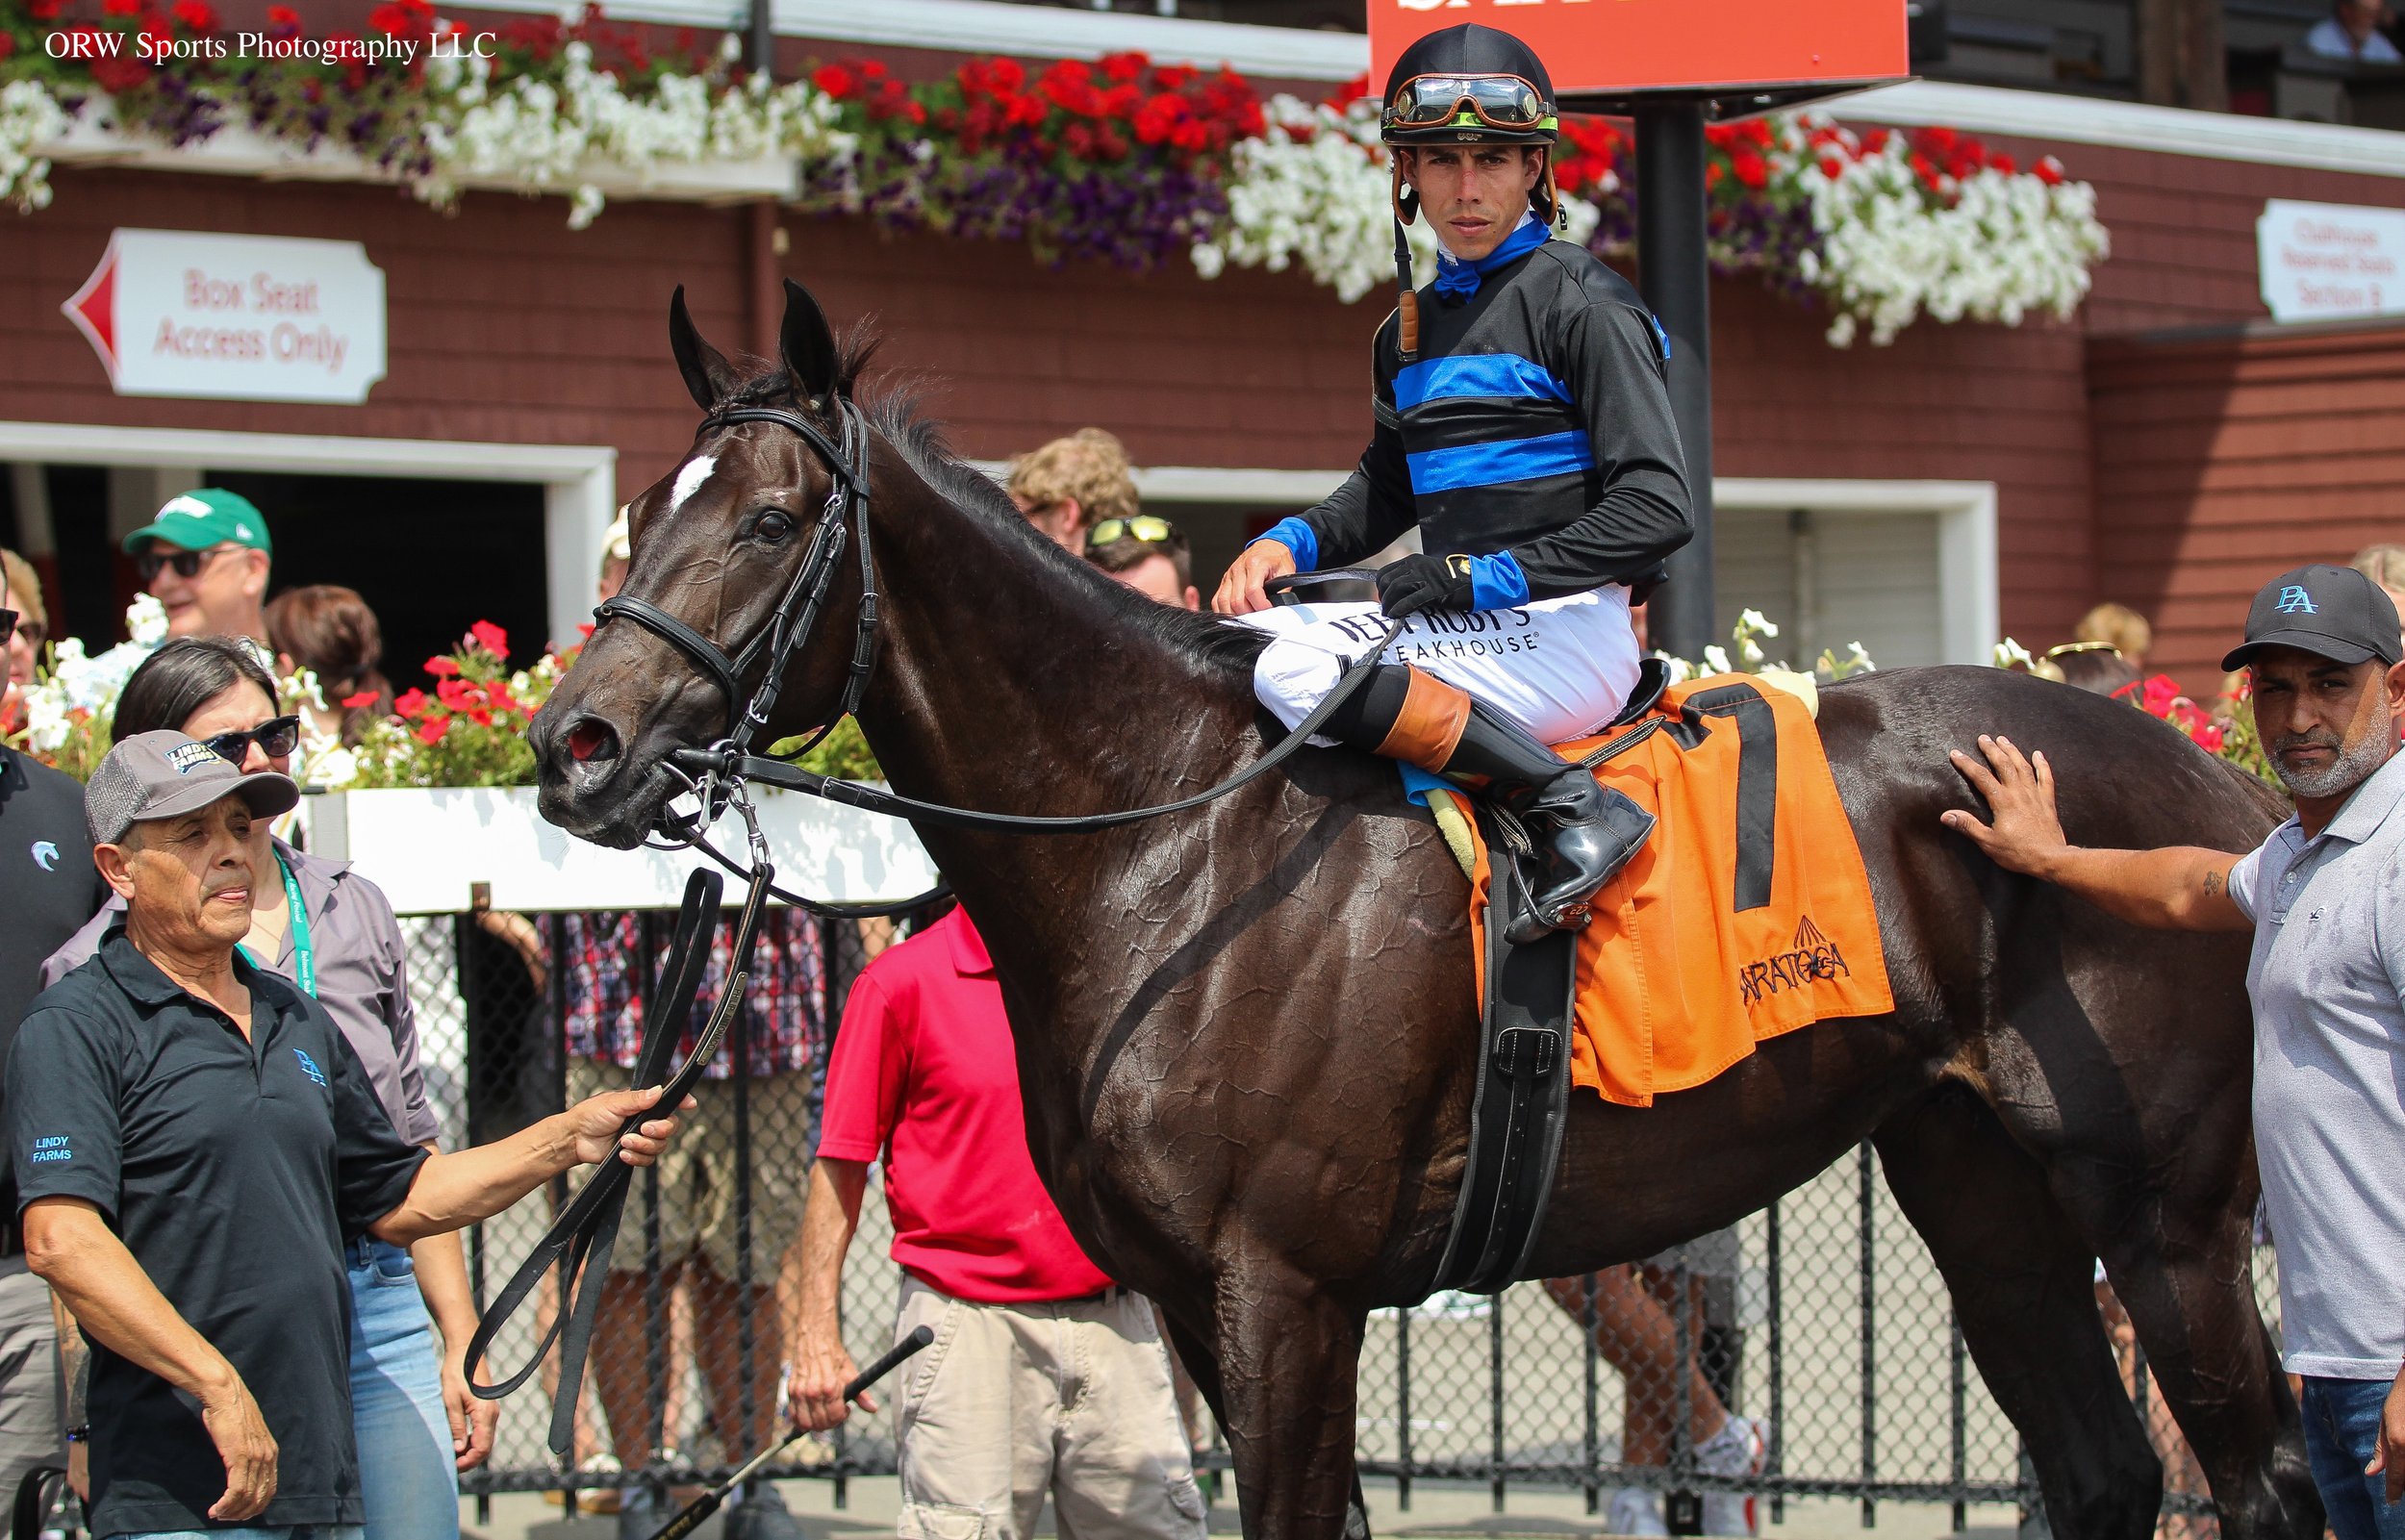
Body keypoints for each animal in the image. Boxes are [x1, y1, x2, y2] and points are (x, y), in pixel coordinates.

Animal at [529, 281, 2317, 1540]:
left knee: (2265, 1480)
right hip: (1986, 1191)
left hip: (2169, 1225)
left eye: (769, 518)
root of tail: (2237, 798)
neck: (1178, 838)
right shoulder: (1209, 1308)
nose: (576, 747)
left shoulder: (1286, 1295)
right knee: (2106, 1472)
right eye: (648, 509)